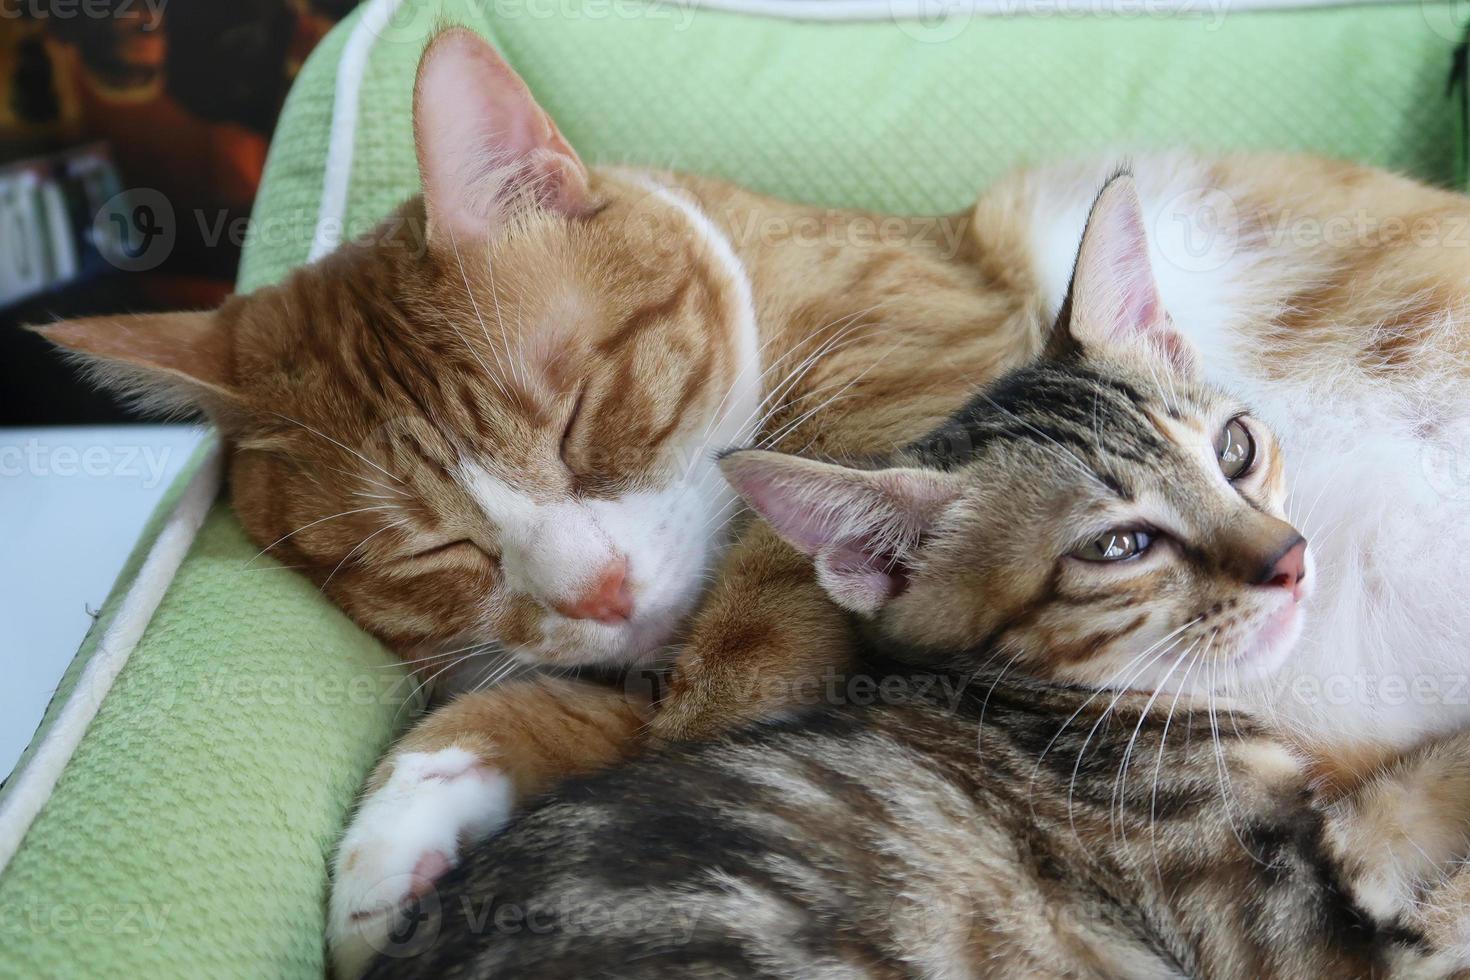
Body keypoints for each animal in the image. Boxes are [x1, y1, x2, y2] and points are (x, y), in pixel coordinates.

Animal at [355, 176, 1470, 980]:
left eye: (1236, 449)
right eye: (1118, 548)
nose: (1290, 558)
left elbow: (1402, 800)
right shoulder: (1296, 943)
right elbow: (1429, 906)